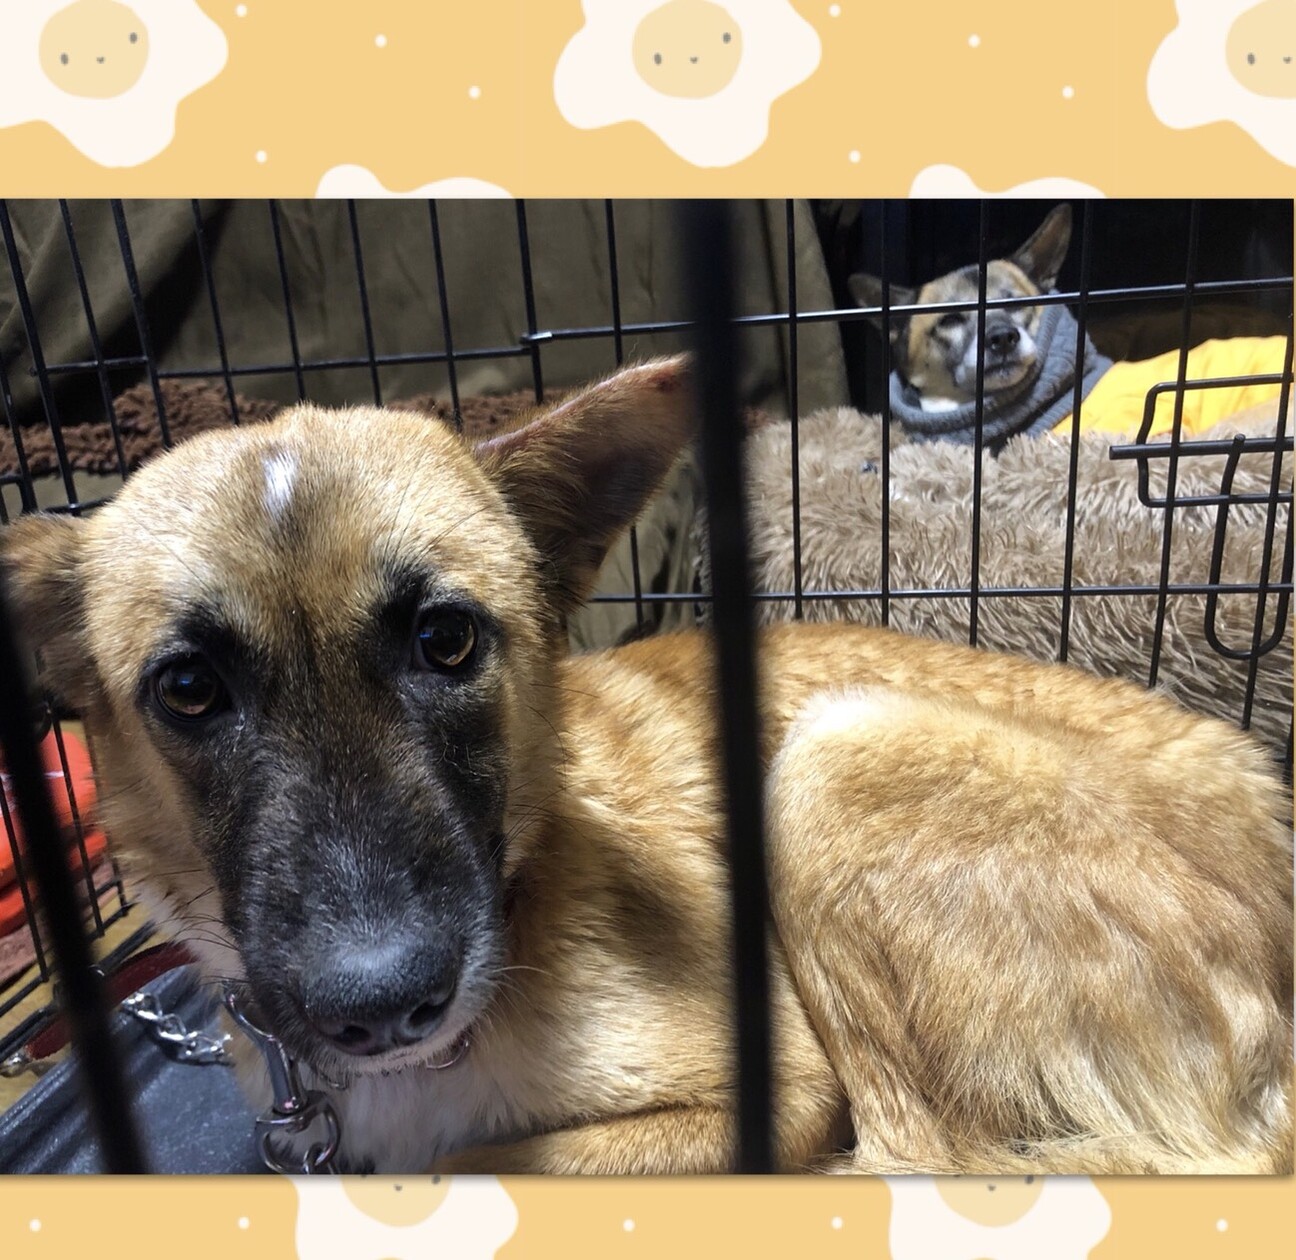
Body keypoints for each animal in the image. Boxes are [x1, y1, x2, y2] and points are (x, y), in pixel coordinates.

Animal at [1, 356, 1291, 1175]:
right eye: (187, 689)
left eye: (447, 639)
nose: (378, 1004)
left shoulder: (776, 1093)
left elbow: (483, 1159)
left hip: (835, 759)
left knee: (930, 1158)